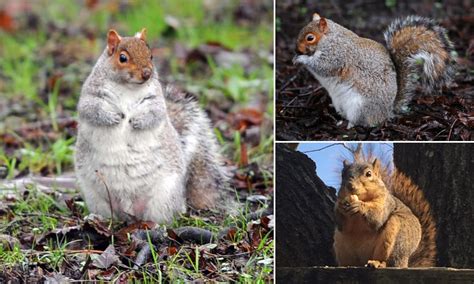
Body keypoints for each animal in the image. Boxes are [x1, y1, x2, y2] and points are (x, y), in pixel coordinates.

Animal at [292, 13, 456, 127]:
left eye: (310, 38)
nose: (296, 49)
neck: (330, 39)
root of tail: (387, 112)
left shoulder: (336, 56)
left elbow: (322, 66)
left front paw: (301, 59)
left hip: (360, 107)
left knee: (364, 122)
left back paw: (349, 124)